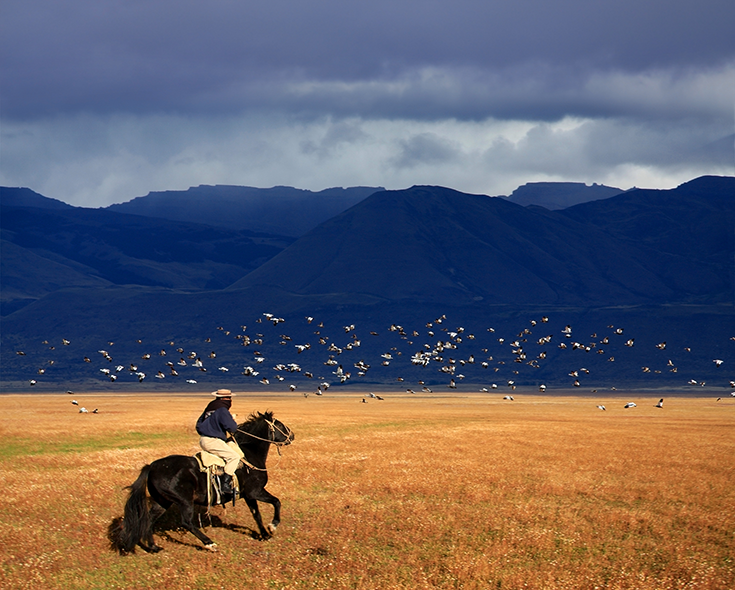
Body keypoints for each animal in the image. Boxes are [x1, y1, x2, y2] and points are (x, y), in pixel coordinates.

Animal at [109, 412, 294, 556]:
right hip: (184, 501)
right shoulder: (255, 491)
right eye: (279, 425)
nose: (292, 436)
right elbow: (276, 502)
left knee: (149, 519)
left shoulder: (248, 495)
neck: (249, 454)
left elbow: (257, 514)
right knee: (186, 522)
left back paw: (154, 547)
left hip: (163, 501)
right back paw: (210, 544)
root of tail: (151, 467)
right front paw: (272, 526)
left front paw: (264, 534)